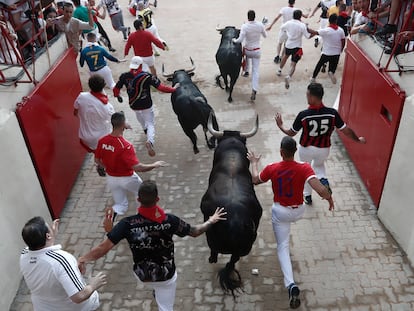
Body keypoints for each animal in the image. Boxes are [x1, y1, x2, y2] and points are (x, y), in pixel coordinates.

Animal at [201, 114, 262, 298]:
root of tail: (235, 223)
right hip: (246, 246)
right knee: (233, 260)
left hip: (211, 237)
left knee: (215, 251)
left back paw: (212, 259)